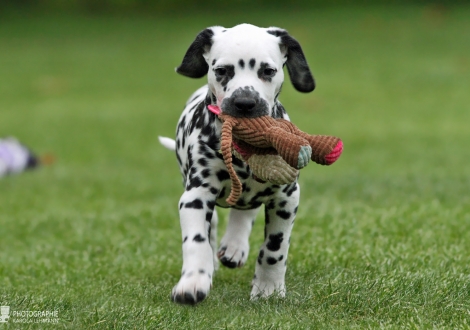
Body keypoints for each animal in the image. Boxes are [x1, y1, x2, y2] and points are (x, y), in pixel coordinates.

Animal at [159, 23, 316, 304]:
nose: (244, 103)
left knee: (244, 212)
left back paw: (234, 246)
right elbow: (196, 241)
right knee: (214, 227)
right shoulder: (195, 196)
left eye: (268, 71)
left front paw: (268, 289)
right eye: (222, 71)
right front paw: (193, 282)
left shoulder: (286, 198)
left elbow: (274, 248)